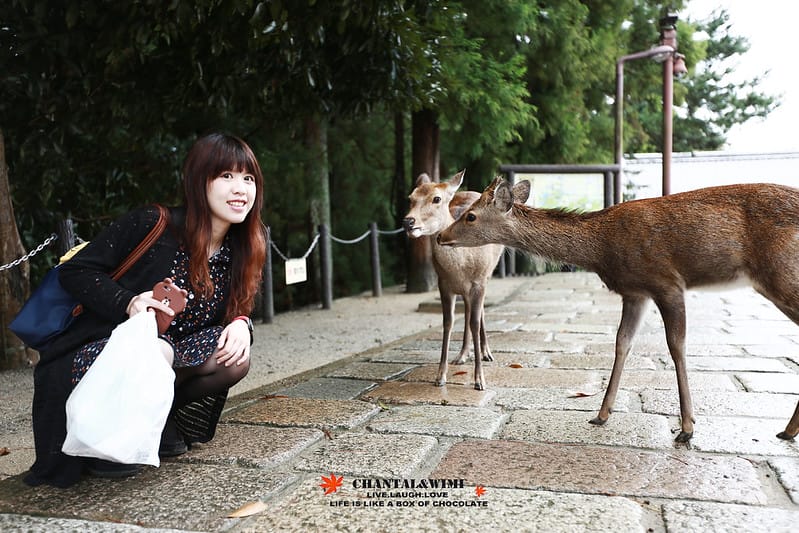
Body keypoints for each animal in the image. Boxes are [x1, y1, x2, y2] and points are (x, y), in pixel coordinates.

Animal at [402, 170, 530, 390]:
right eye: (410, 198)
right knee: (469, 312)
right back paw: (462, 355)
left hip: (488, 274)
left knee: (478, 314)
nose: (409, 222)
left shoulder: (479, 282)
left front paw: (479, 380)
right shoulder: (443, 284)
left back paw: (487, 353)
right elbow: (448, 322)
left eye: (437, 198)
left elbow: (475, 322)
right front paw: (440, 377)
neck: (461, 268)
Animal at [437, 176, 799, 443]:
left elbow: (676, 346)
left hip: (781, 274)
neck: (602, 248)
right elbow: (622, 343)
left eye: (470, 215)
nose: (441, 236)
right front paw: (600, 414)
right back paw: (787, 429)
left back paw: (787, 429)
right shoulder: (635, 292)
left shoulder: (666, 282)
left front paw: (687, 427)